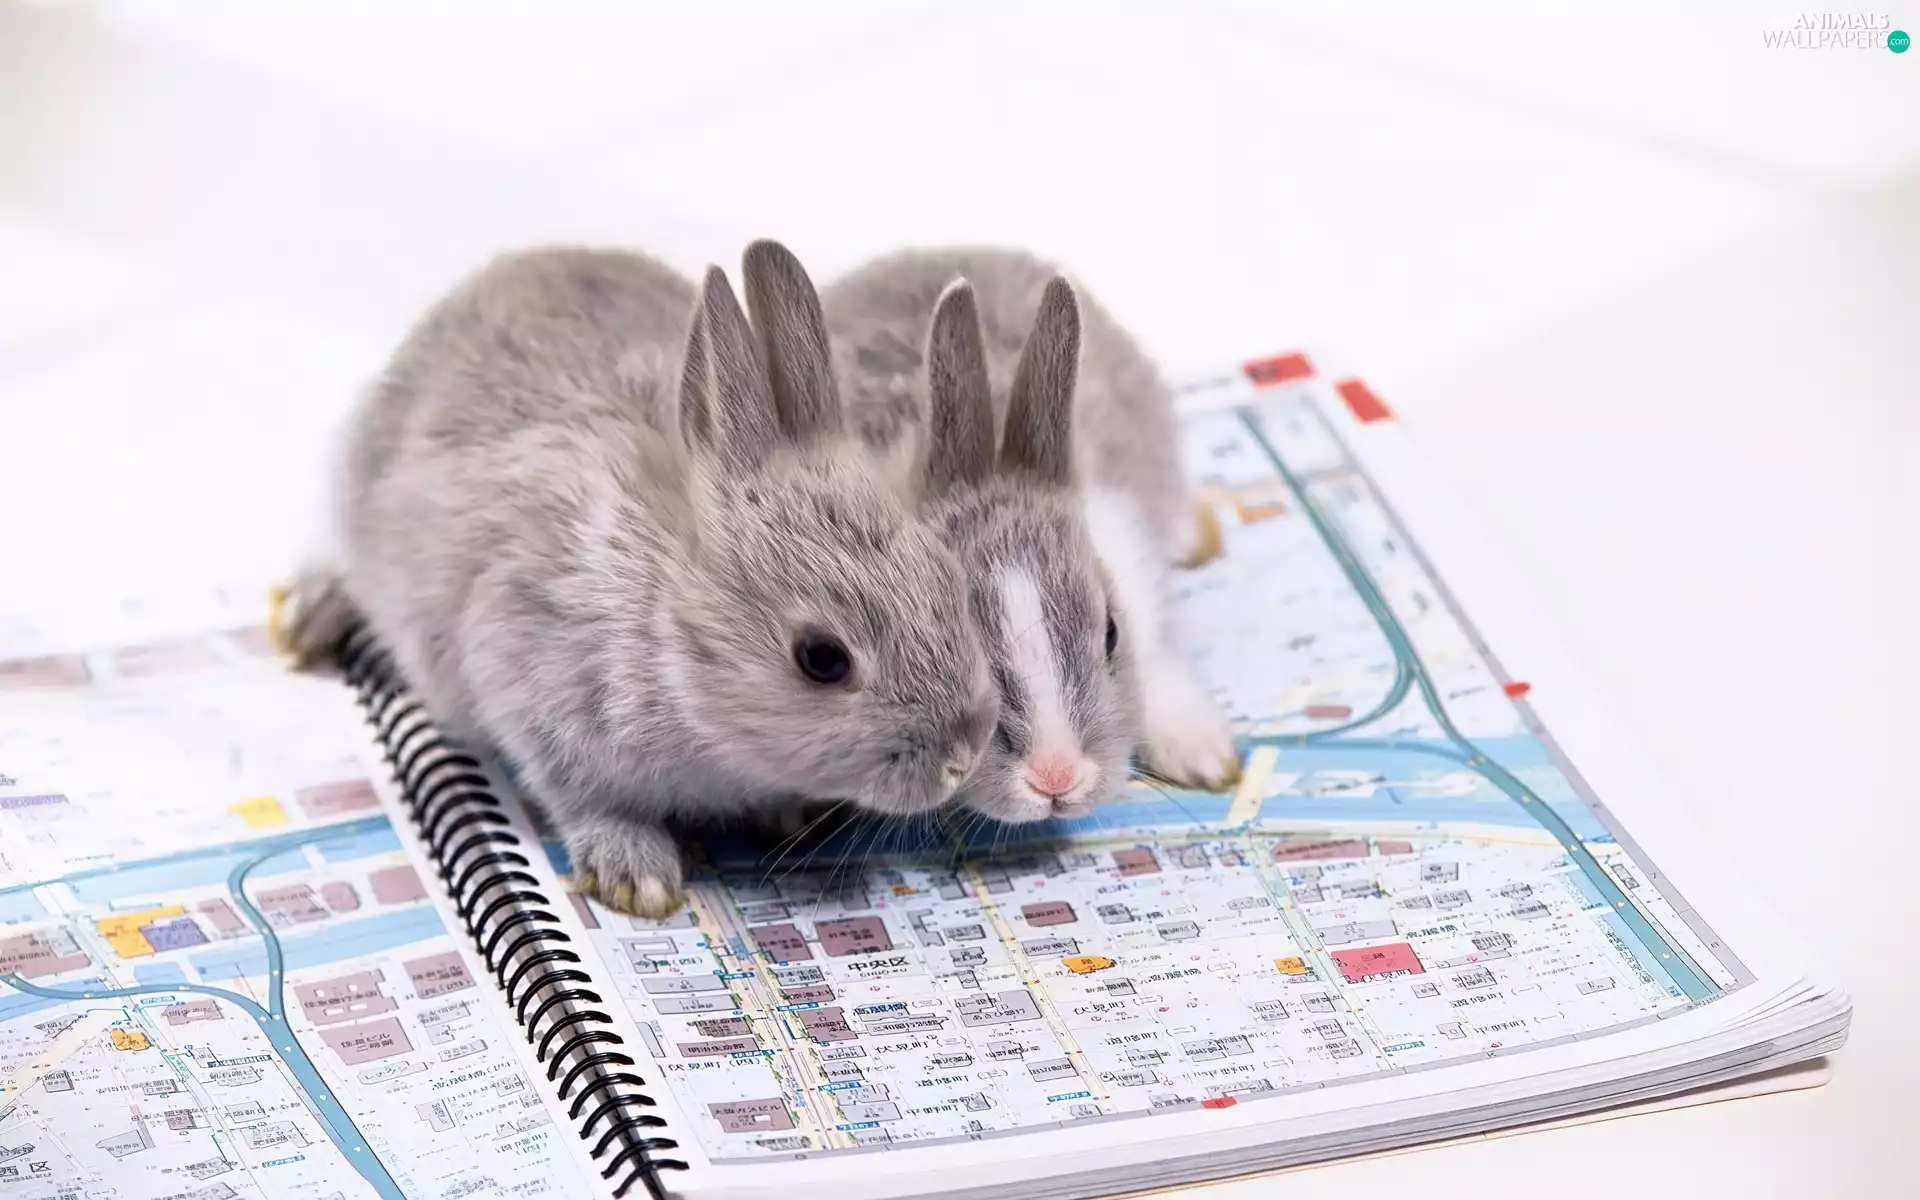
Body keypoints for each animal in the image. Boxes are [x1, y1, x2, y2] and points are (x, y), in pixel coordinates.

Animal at [287, 241, 998, 918]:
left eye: (948, 578)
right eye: (822, 659)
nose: (961, 758)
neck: (668, 635)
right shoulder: (535, 689)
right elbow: (584, 799)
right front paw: (638, 878)